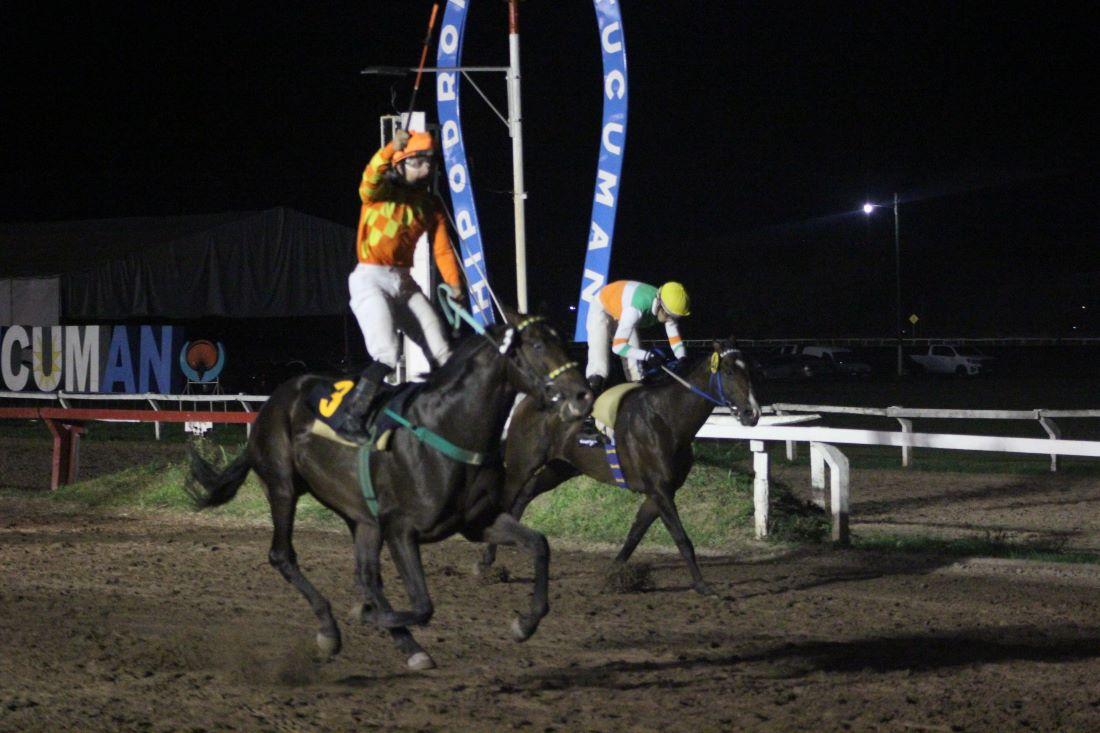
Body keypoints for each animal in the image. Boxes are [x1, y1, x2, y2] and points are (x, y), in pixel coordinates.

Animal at [187, 312, 594, 669]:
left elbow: (539, 544)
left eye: (563, 341)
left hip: (361, 517)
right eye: (538, 345)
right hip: (283, 486)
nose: (583, 394)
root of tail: (272, 403)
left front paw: (525, 624)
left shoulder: (477, 522)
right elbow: (424, 605)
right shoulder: (401, 529)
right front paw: (364, 616)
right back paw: (330, 629)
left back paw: (405, 644)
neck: (448, 427)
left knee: (366, 576)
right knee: (283, 555)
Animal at [481, 336, 765, 594]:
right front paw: (703, 585)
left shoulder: (658, 492)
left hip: (560, 467)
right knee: (508, 499)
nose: (752, 414)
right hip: (522, 463)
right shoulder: (659, 490)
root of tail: (527, 400)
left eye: (750, 371)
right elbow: (682, 538)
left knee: (525, 496)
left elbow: (635, 534)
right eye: (729, 372)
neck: (667, 418)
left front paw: (614, 575)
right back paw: (487, 563)